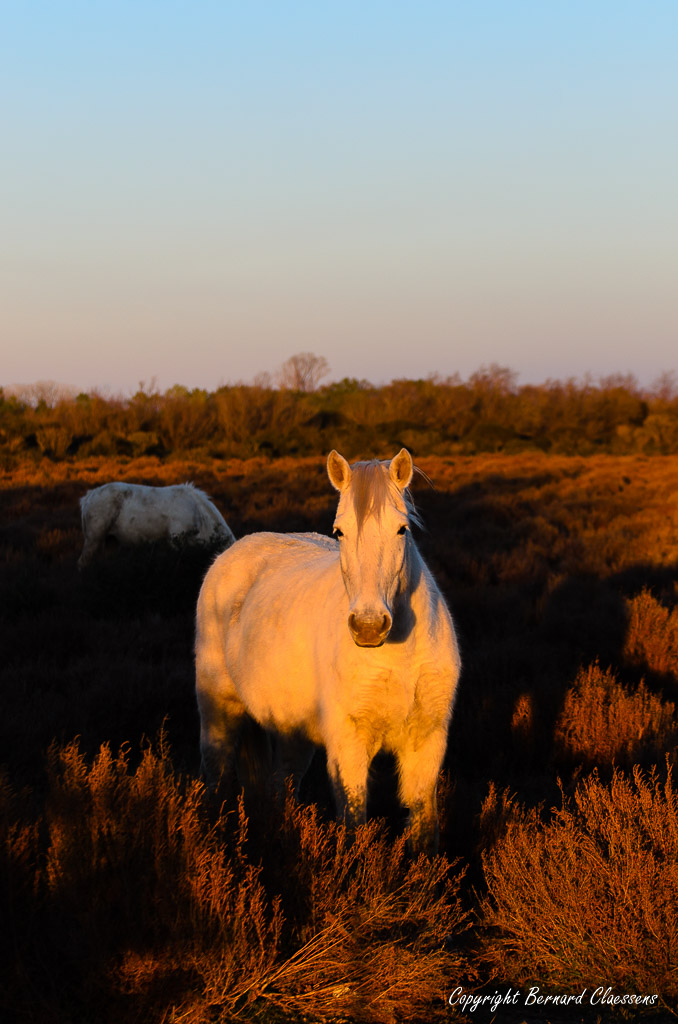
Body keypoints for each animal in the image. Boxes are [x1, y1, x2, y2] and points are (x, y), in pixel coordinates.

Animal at [194, 449, 460, 854]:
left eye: (402, 529)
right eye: (339, 532)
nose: (368, 626)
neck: (400, 656)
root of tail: (231, 554)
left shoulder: (426, 742)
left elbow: (423, 825)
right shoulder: (348, 745)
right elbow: (353, 820)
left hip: (292, 733)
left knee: (280, 785)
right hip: (217, 711)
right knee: (217, 771)